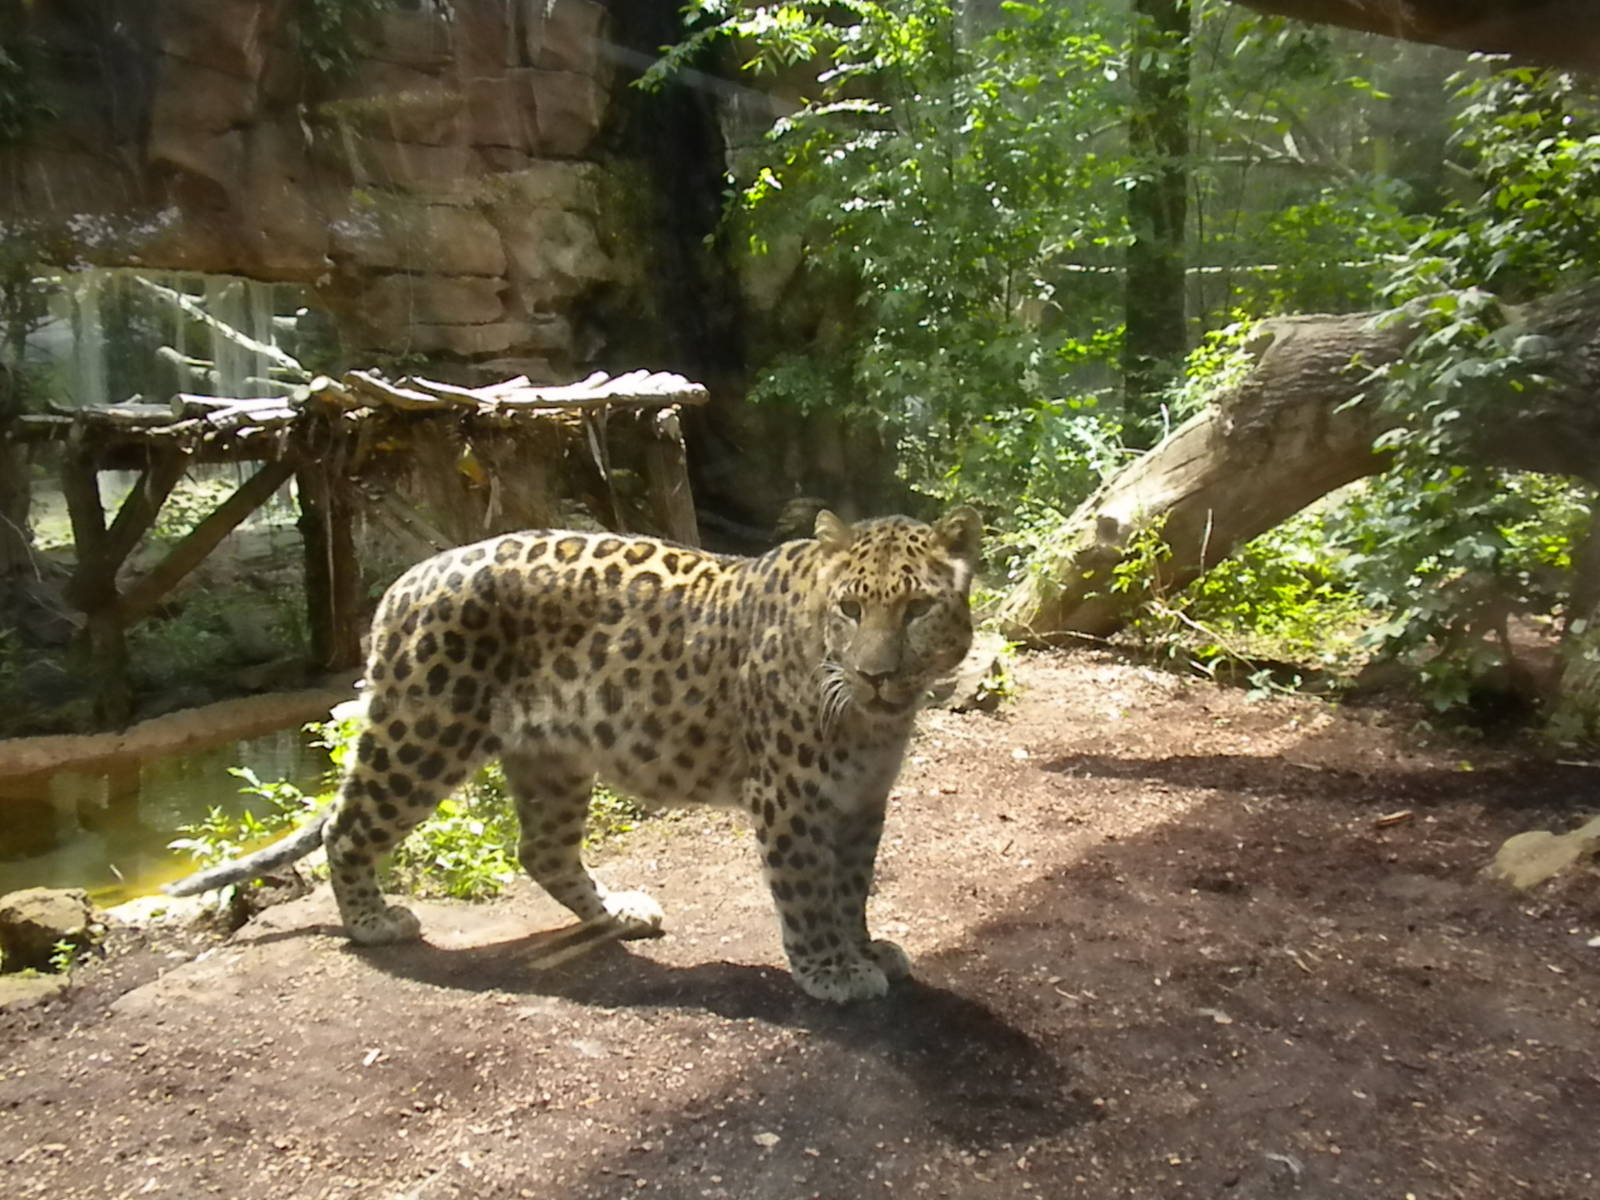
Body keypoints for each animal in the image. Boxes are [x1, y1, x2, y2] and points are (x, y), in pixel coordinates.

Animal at [167, 506, 981, 1003]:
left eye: (917, 608)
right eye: (851, 608)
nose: (875, 675)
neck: (872, 723)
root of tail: (404, 582)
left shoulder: (861, 799)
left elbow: (852, 886)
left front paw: (866, 950)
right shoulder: (790, 796)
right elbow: (809, 891)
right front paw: (830, 971)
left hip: (551, 756)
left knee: (543, 850)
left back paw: (619, 910)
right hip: (425, 736)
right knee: (348, 827)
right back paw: (372, 922)